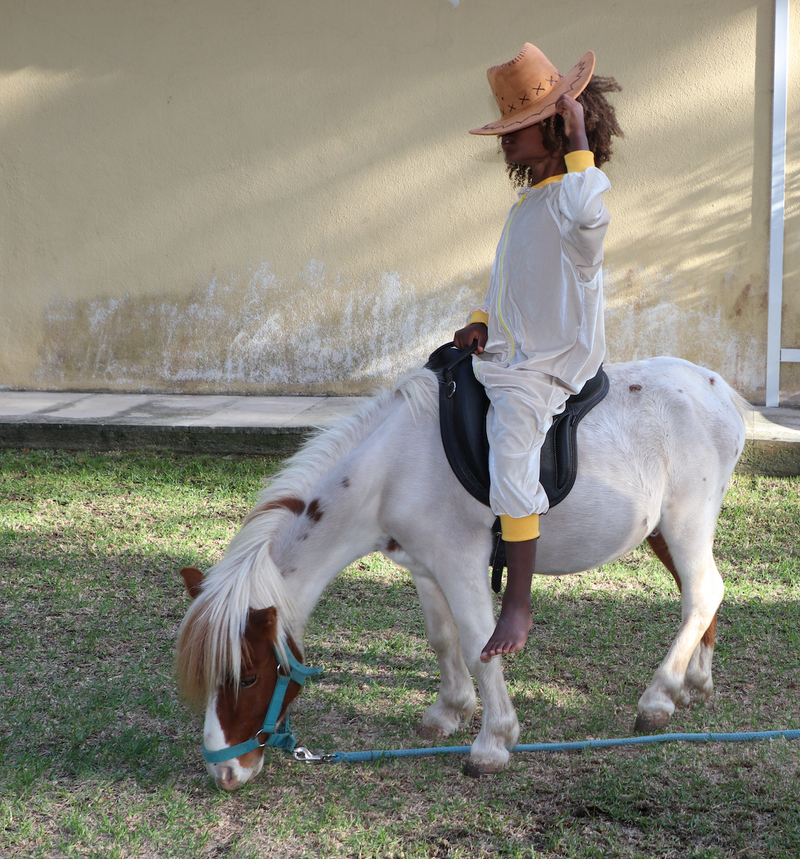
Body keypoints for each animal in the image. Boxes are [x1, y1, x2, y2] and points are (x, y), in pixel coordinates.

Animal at [175, 356, 752, 792]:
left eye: (250, 675)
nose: (225, 772)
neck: (392, 468)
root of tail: (717, 388)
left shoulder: (460, 563)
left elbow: (480, 645)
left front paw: (493, 743)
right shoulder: (424, 567)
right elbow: (443, 638)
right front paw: (448, 712)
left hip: (685, 521)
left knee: (702, 593)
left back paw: (658, 699)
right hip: (663, 531)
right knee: (702, 593)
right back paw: (694, 684)